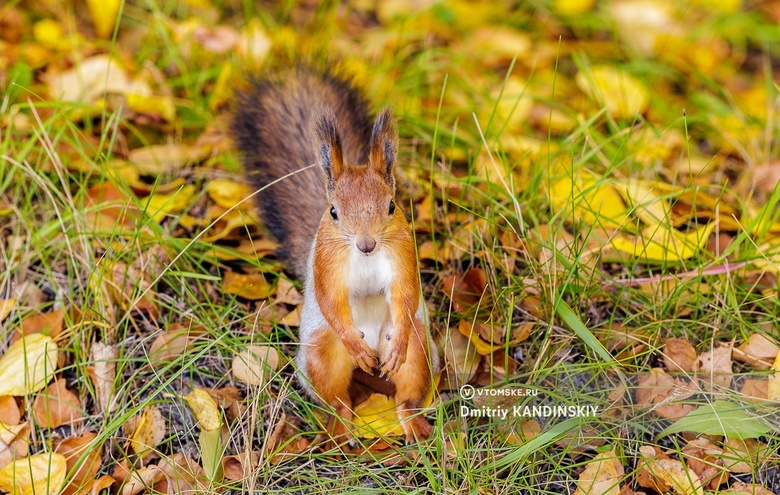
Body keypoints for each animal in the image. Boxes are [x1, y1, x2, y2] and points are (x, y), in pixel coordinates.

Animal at [230, 67, 438, 446]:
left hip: (420, 352)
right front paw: (353, 344)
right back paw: (342, 427)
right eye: (333, 212)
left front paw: (398, 341)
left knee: (406, 391)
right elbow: (330, 297)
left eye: (391, 206)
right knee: (337, 399)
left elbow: (405, 293)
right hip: (320, 354)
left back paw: (410, 420)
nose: (366, 244)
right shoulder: (326, 262)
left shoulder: (403, 253)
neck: (366, 257)